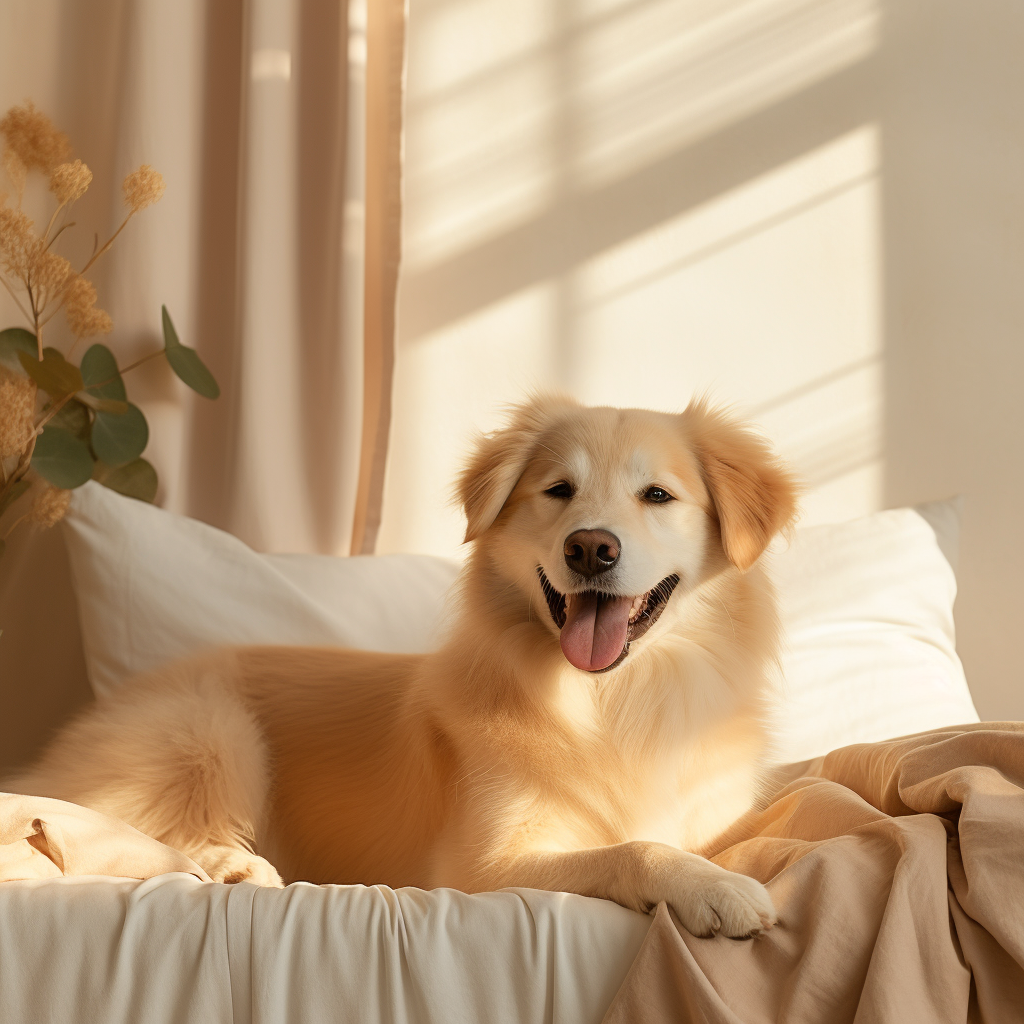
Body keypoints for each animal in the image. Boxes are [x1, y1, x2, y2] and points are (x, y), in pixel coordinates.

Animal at [14, 395, 798, 937]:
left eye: (657, 496)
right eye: (559, 491)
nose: (590, 549)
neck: (613, 697)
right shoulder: (481, 866)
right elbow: (630, 849)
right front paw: (713, 888)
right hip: (211, 728)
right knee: (111, 824)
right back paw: (234, 864)